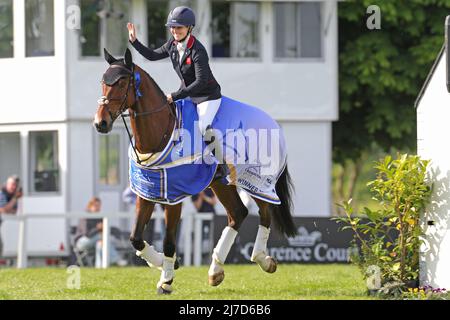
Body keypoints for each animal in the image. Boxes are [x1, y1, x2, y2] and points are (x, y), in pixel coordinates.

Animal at [93, 48, 298, 296]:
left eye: (122, 82)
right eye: (103, 82)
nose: (100, 123)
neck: (162, 133)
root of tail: (275, 124)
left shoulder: (174, 197)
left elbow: (169, 241)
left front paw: (166, 280)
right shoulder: (148, 192)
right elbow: (135, 238)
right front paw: (168, 265)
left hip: (258, 184)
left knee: (265, 214)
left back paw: (262, 260)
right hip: (221, 183)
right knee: (238, 214)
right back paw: (216, 271)